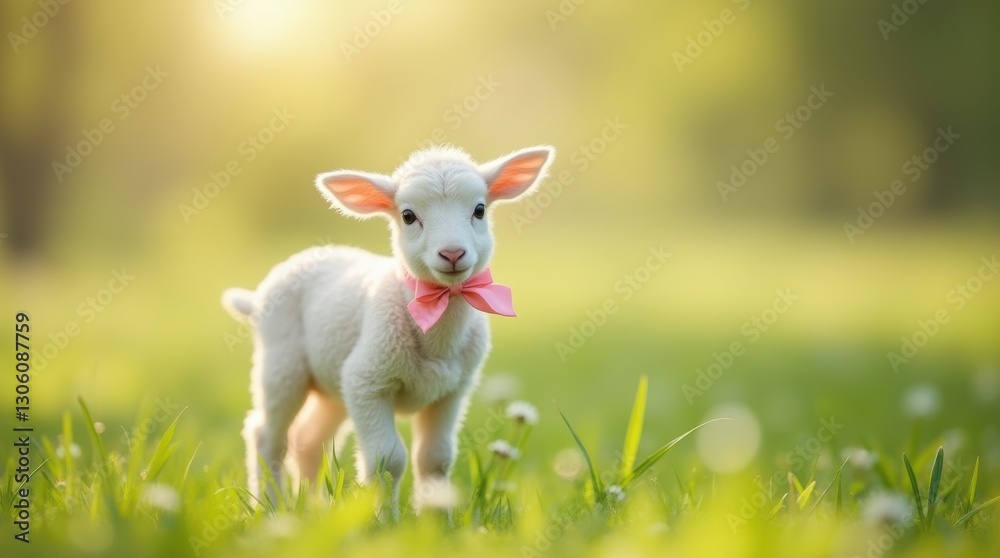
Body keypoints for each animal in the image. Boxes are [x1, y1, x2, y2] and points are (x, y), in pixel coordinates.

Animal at [221, 145, 555, 512]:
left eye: (479, 210)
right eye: (408, 216)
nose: (452, 253)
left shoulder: (453, 391)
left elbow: (435, 458)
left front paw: (436, 518)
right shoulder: (368, 382)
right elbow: (388, 459)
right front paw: (385, 519)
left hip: (333, 383)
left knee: (308, 438)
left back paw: (312, 506)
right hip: (282, 365)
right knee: (266, 435)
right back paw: (271, 505)